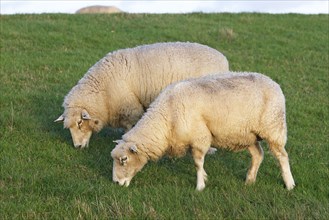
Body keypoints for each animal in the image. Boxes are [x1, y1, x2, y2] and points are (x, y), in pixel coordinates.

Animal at [54, 41, 228, 148]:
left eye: (79, 123)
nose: (77, 147)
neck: (102, 91)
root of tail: (223, 59)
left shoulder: (128, 106)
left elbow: (129, 126)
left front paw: (124, 138)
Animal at [110, 72, 294, 191]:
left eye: (124, 159)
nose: (116, 183)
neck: (167, 117)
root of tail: (274, 83)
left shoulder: (199, 137)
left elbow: (198, 163)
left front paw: (200, 186)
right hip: (247, 135)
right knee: (258, 155)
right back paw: (250, 180)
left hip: (274, 128)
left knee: (282, 156)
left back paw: (289, 184)